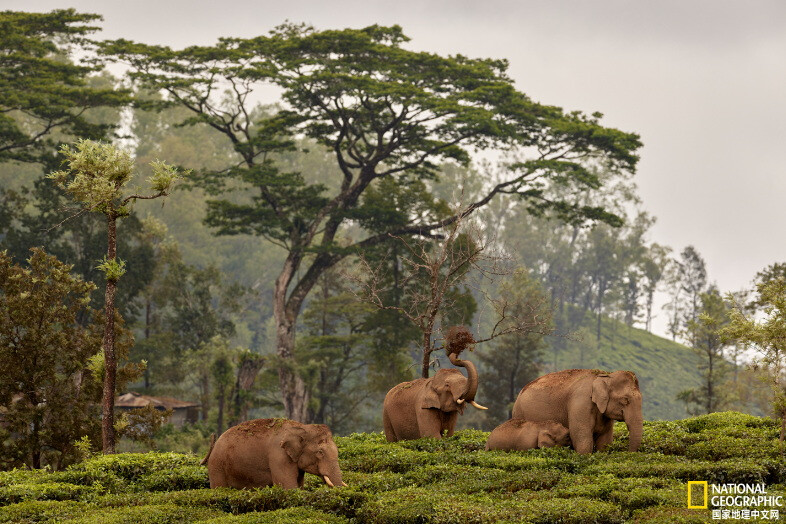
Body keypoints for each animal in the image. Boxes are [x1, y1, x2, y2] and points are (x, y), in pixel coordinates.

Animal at [508, 368, 644, 454]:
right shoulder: (580, 403)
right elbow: (581, 437)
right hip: (520, 413)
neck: (605, 375)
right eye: (625, 400)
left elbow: (604, 440)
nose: (628, 453)